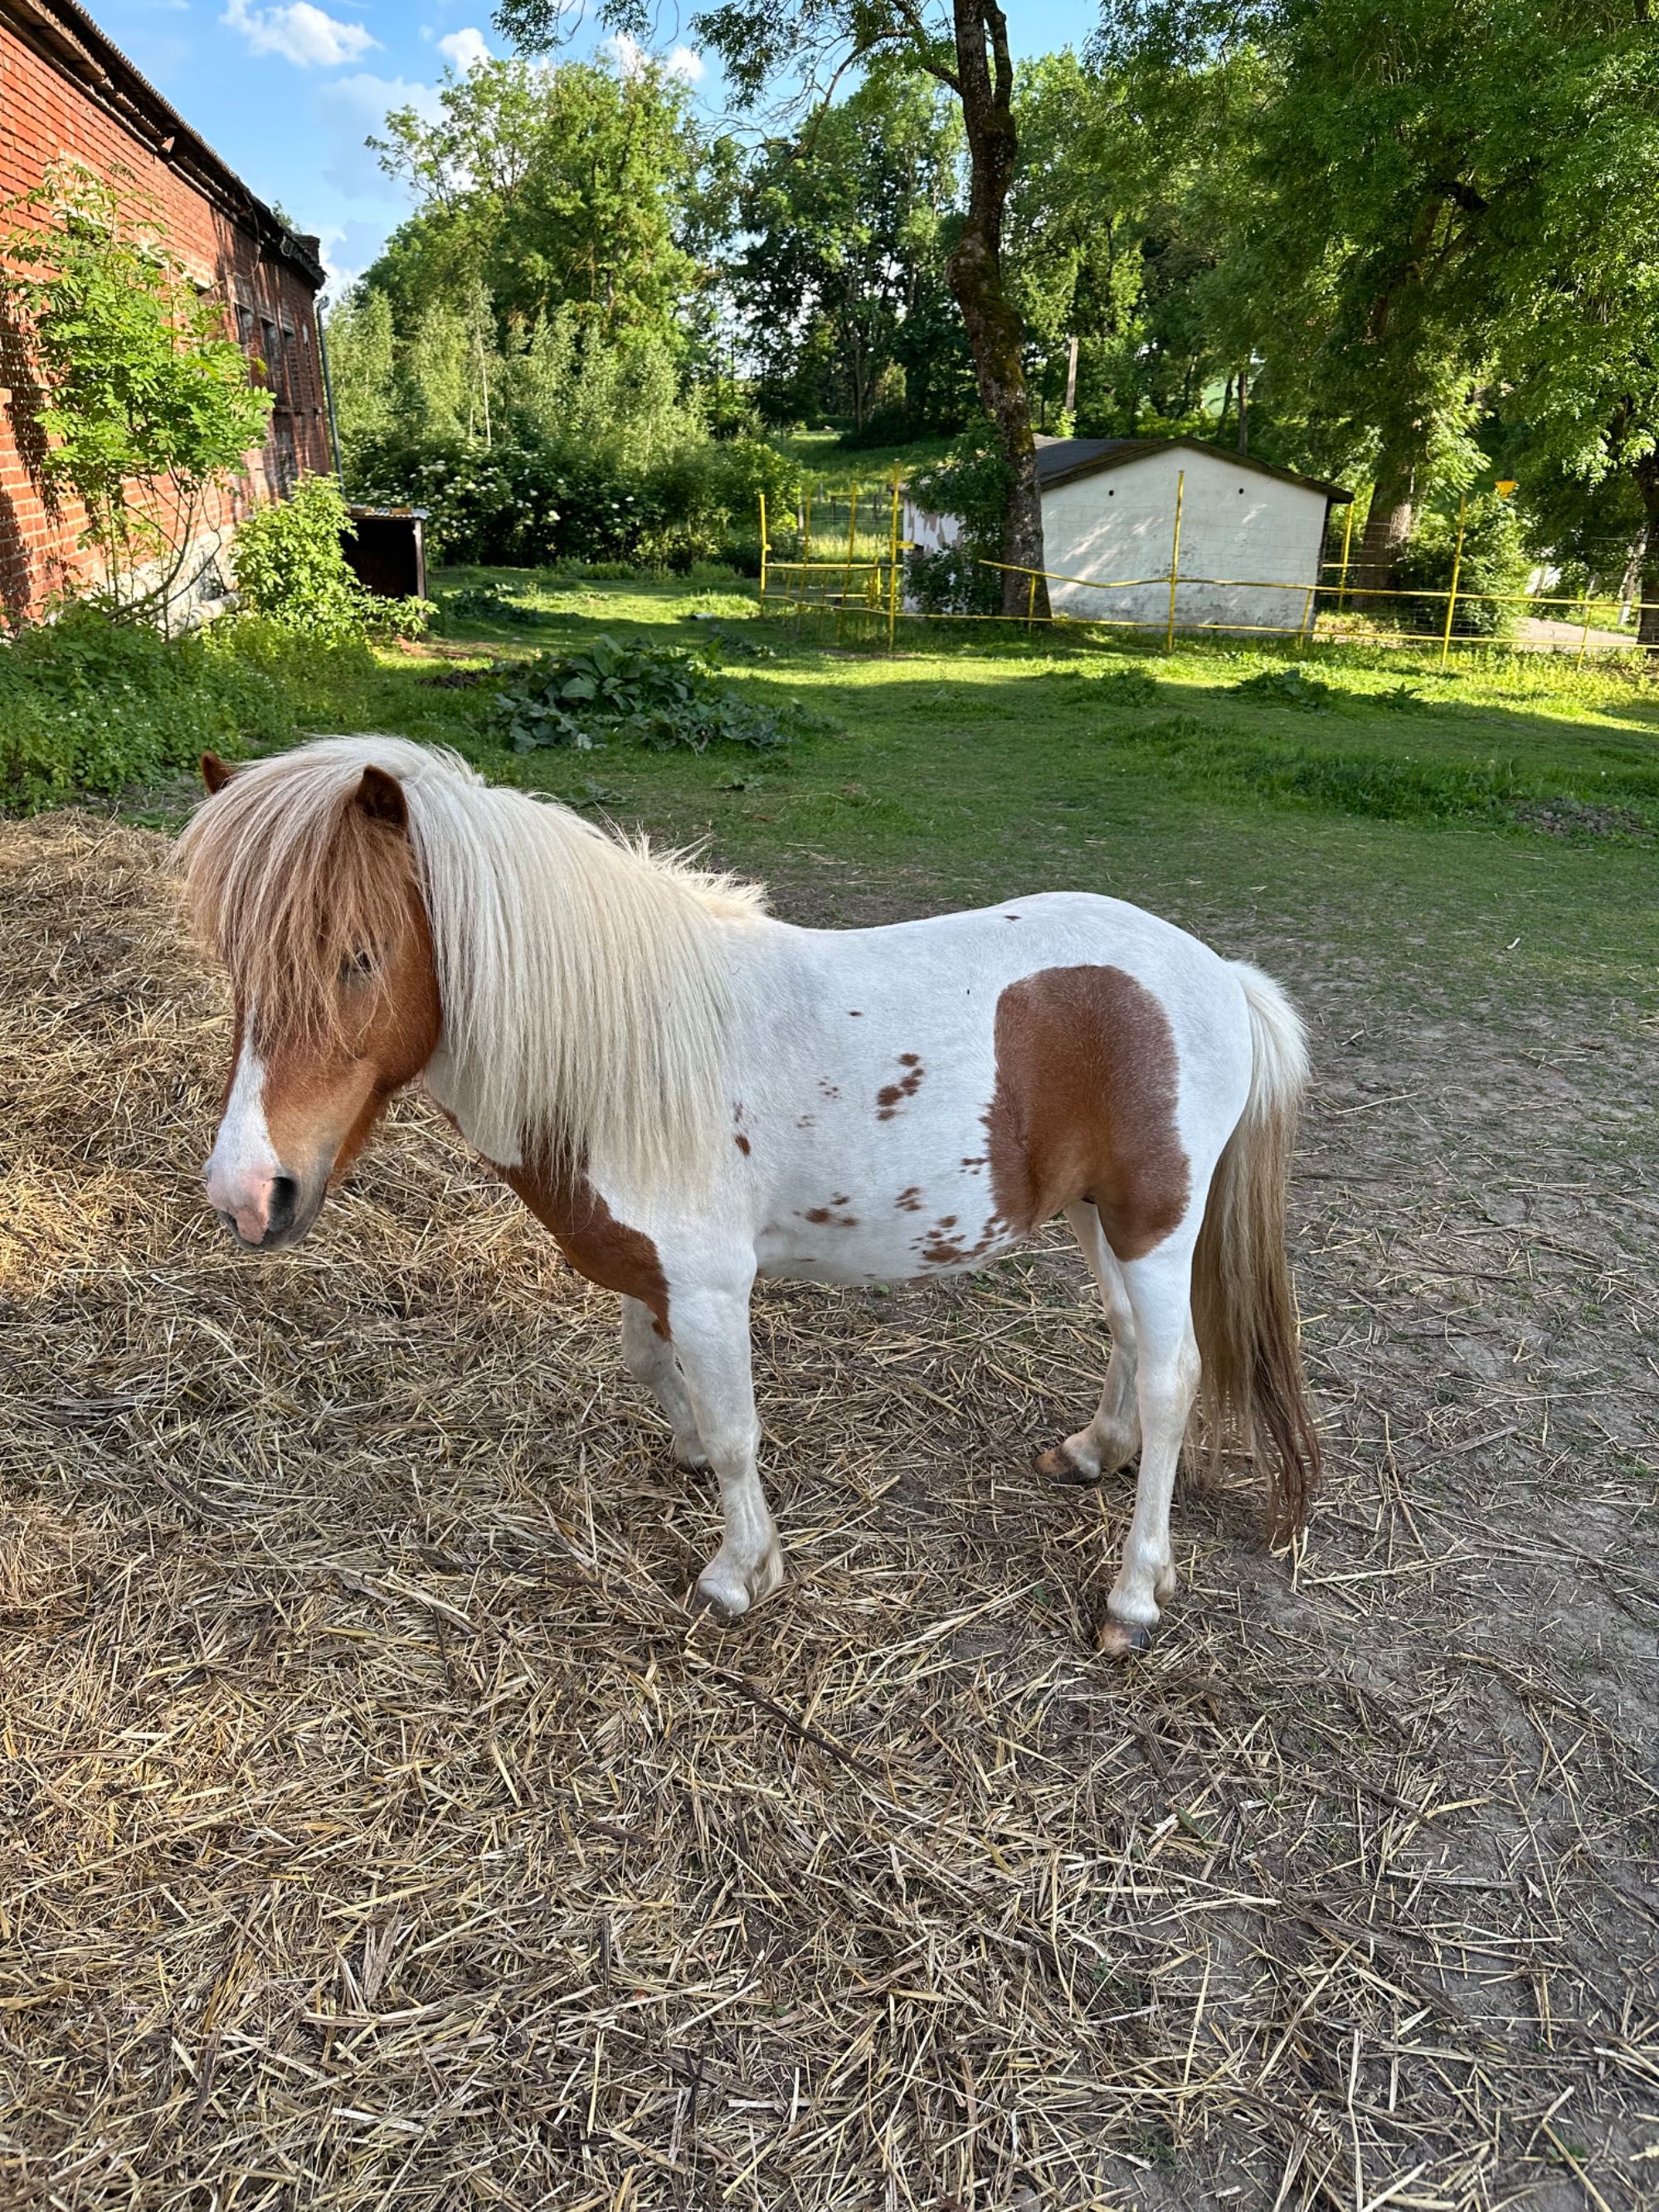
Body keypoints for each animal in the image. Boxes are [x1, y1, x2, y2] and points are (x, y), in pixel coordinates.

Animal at [179, 734, 1327, 1654]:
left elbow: (739, 1432)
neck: (624, 1054)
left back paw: (1133, 1595)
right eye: (237, 966)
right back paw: (1093, 1451)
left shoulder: (707, 1286)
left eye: (357, 958)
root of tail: (1215, 974)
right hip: (1099, 1215)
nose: (246, 1194)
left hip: (1153, 1221)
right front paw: (687, 1448)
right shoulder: (650, 1276)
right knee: (1128, 1340)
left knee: (1173, 1378)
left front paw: (742, 1571)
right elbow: (655, 1371)